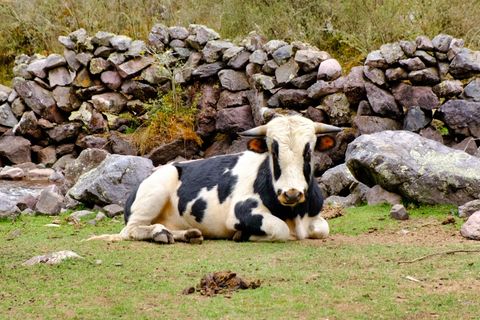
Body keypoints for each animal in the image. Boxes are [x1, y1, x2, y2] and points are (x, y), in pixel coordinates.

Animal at [87, 116, 342, 244]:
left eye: (308, 151)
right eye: (273, 150)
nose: (291, 193)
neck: (294, 214)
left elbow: (323, 228)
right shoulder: (241, 211)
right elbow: (279, 230)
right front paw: (244, 235)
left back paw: (187, 234)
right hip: (154, 191)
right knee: (130, 230)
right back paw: (159, 234)